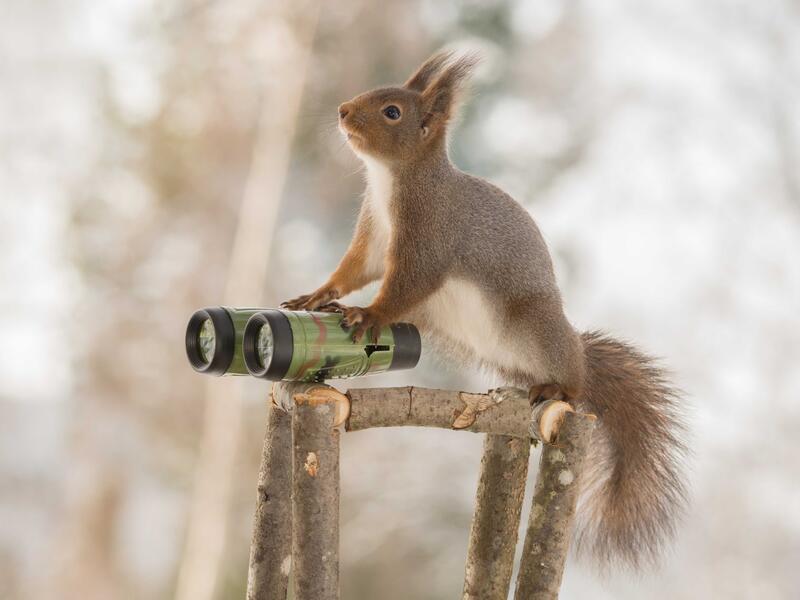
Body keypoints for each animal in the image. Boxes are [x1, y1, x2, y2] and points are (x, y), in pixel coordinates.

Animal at [282, 50, 687, 570]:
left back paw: (560, 385)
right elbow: (354, 269)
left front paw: (368, 315)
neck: (393, 181)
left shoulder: (430, 238)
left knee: (575, 380)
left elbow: (405, 286)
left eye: (392, 112)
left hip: (535, 327)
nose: (343, 111)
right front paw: (316, 296)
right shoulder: (373, 235)